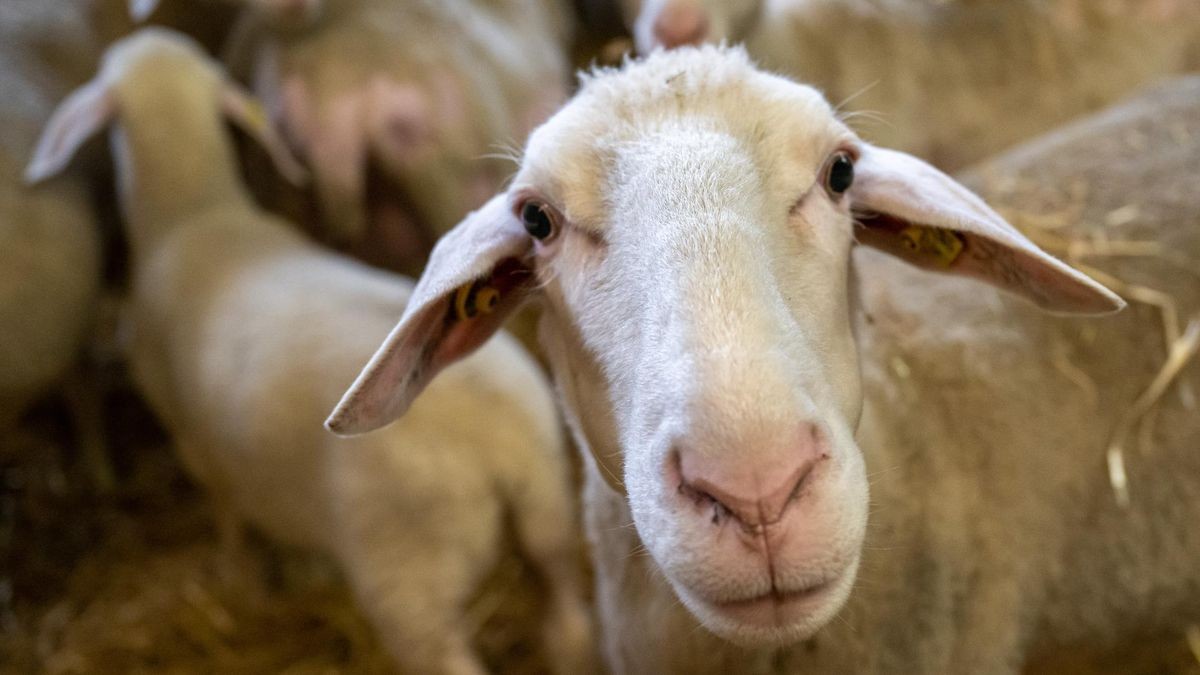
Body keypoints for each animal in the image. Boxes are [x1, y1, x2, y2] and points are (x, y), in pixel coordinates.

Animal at [25, 28, 592, 667]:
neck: (193, 215)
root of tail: (501, 443)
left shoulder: (194, 442)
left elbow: (230, 517)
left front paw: (242, 583)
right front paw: (305, 570)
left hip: (410, 569)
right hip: (550, 510)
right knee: (567, 621)